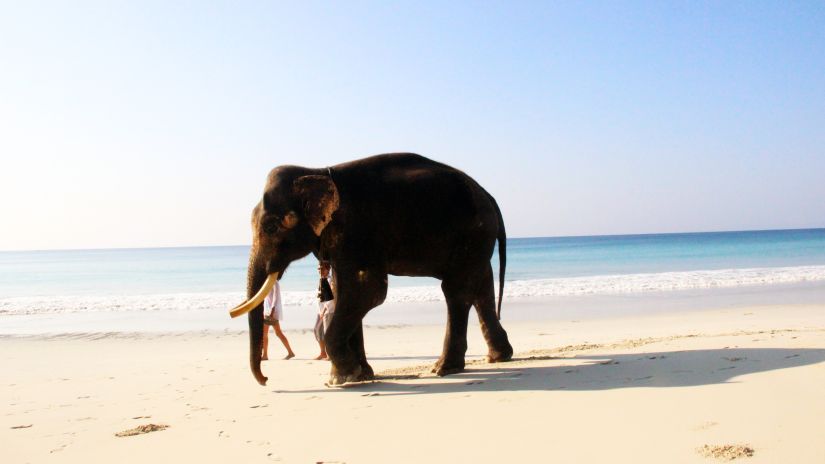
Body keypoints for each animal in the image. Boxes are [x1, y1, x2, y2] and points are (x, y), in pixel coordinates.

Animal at [229, 152, 512, 384]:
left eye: (271, 227)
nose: (266, 379)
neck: (318, 171)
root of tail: (488, 195)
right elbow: (344, 293)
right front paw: (359, 375)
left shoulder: (358, 231)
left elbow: (368, 291)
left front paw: (342, 378)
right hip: (477, 239)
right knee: (481, 287)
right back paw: (497, 357)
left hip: (472, 232)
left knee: (456, 290)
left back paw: (443, 368)